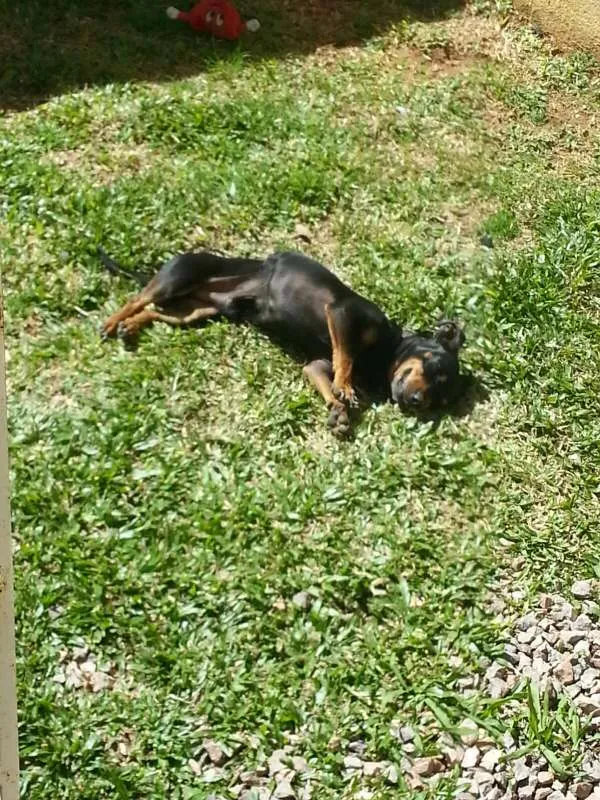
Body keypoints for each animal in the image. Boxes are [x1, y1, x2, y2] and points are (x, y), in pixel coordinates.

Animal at [98, 250, 466, 438]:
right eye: (434, 368)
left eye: (441, 399)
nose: (417, 402)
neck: (384, 355)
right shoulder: (342, 313)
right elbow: (345, 357)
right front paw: (345, 388)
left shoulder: (315, 365)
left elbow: (327, 377)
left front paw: (338, 410)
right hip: (179, 275)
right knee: (139, 297)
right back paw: (114, 321)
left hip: (192, 313)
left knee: (154, 312)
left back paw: (130, 327)